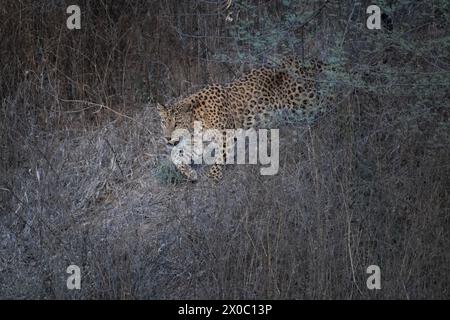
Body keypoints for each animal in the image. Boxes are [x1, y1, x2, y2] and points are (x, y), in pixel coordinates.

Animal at [157, 56, 330, 181]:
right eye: (164, 123)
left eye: (177, 123)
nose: (167, 138)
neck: (197, 121)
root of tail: (302, 60)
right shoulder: (197, 143)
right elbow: (177, 157)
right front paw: (190, 173)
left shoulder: (225, 135)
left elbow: (220, 156)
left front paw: (213, 176)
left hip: (302, 101)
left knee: (325, 102)